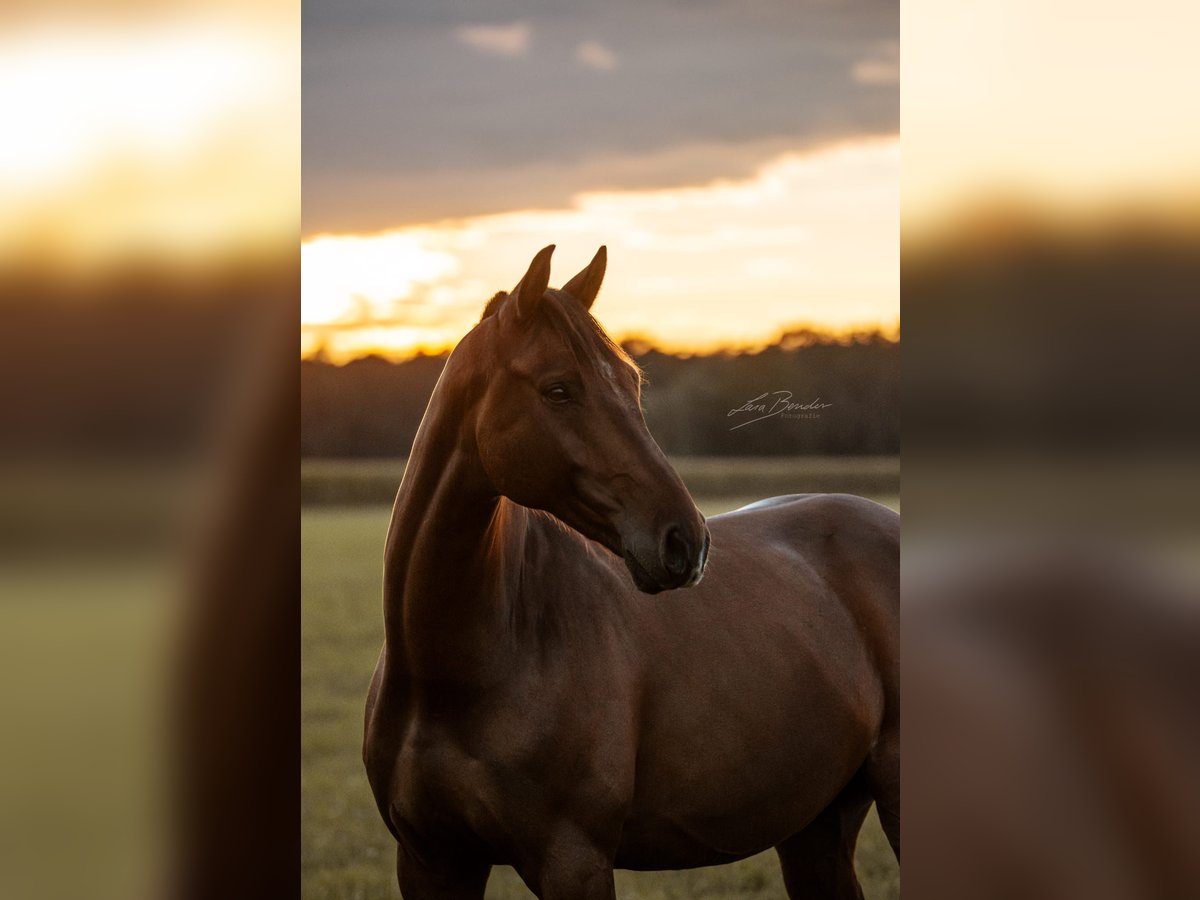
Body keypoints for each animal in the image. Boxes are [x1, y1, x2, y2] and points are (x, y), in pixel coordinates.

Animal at [364, 247, 902, 900]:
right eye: (559, 389)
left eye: (632, 383)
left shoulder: (573, 862)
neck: (452, 672)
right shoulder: (430, 861)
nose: (686, 540)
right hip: (815, 829)